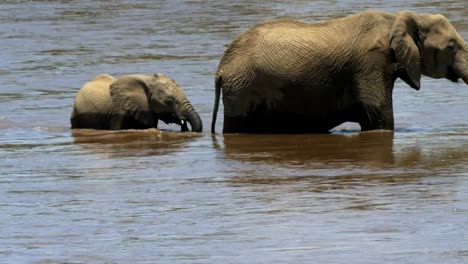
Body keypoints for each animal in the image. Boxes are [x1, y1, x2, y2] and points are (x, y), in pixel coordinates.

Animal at [211, 10, 468, 134]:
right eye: (451, 47)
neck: (395, 19)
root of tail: (222, 67)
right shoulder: (370, 63)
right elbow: (378, 116)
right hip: (242, 90)